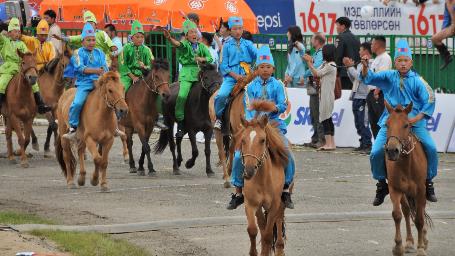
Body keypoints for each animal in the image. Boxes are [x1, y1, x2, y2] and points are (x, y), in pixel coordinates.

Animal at [235, 110, 288, 256]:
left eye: (263, 140)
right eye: (243, 140)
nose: (249, 169)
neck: (263, 180)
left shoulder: (274, 205)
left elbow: (268, 235)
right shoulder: (251, 204)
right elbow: (253, 230)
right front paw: (254, 252)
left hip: (281, 203)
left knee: (278, 221)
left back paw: (279, 248)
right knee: (262, 226)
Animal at [384, 102, 432, 256]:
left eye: (406, 125)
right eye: (387, 124)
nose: (392, 151)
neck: (407, 165)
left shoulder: (421, 190)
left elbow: (419, 219)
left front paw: (421, 247)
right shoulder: (395, 189)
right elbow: (397, 215)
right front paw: (398, 246)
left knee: (420, 211)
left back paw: (423, 238)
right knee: (406, 211)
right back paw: (410, 242)